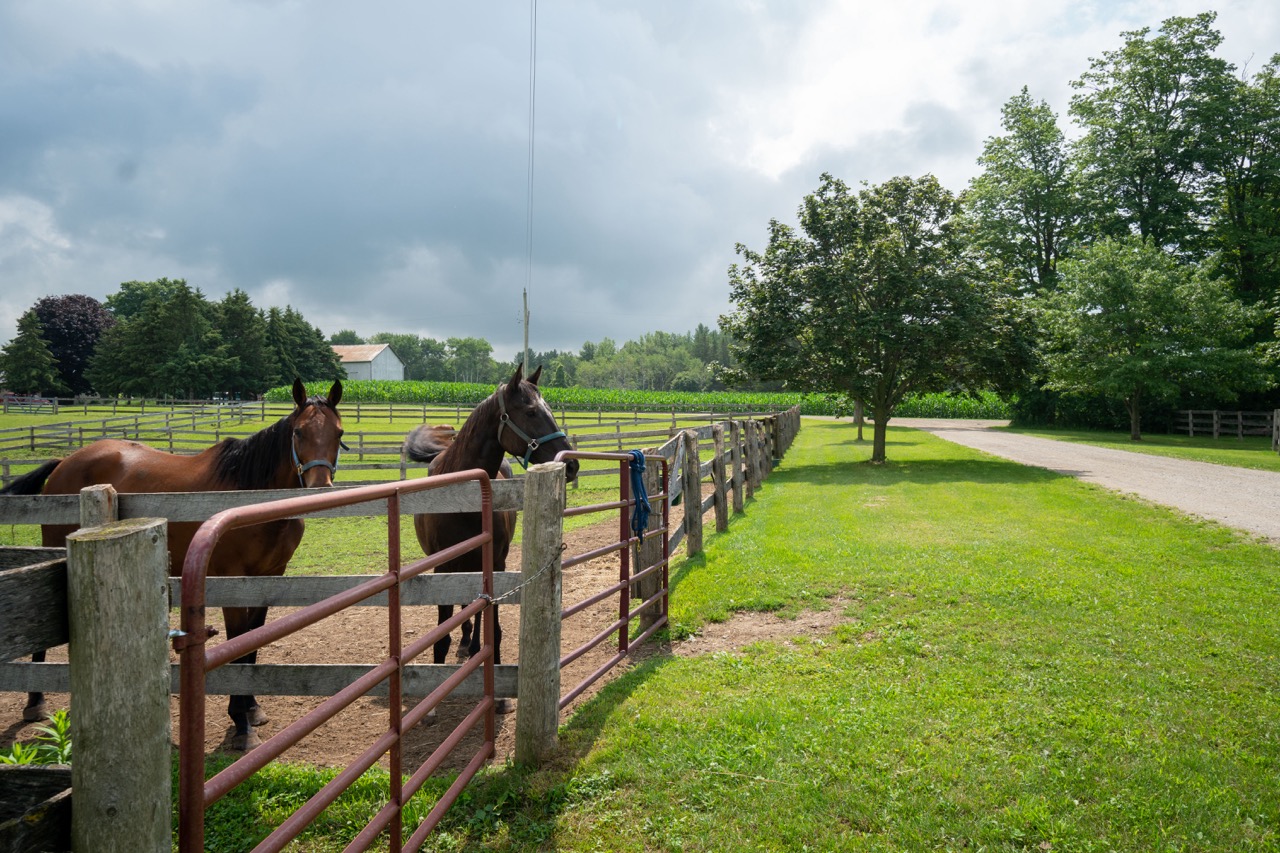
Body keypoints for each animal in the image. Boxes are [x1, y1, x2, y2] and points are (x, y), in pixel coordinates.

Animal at [0, 376, 345, 742]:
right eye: (299, 432)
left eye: (338, 433)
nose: (320, 486)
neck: (252, 498)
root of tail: (65, 461)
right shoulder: (231, 580)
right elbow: (237, 641)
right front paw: (240, 724)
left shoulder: (270, 576)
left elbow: (253, 640)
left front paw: (252, 709)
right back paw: (35, 701)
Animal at [404, 361, 581, 701]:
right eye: (530, 412)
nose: (572, 464)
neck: (463, 501)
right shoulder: (443, 568)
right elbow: (441, 636)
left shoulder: (495, 563)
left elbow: (494, 629)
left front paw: (497, 692)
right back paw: (465, 644)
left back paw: (472, 645)